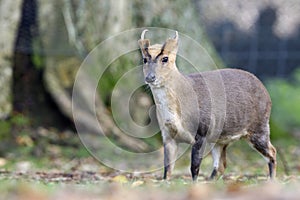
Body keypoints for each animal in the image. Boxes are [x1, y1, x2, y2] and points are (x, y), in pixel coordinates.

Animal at [138, 29, 276, 181]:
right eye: (144, 59)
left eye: (165, 58)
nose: (150, 77)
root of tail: (266, 93)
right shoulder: (167, 134)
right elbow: (167, 168)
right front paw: (166, 182)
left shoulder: (201, 130)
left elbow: (194, 166)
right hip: (220, 138)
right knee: (221, 165)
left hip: (259, 127)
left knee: (272, 152)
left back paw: (271, 180)